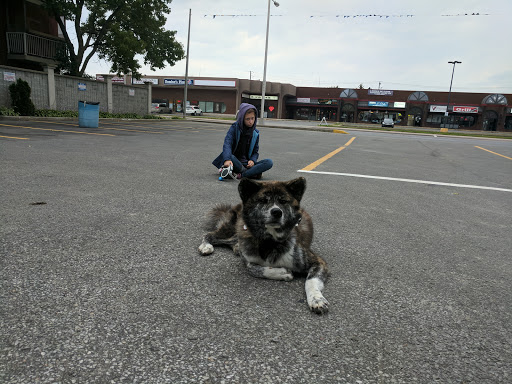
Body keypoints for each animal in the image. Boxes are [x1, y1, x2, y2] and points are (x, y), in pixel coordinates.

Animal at [198, 178, 330, 316]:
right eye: (263, 200)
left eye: (283, 201)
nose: (276, 212)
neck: (269, 241)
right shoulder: (249, 260)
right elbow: (254, 269)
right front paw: (282, 273)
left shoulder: (318, 262)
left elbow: (311, 281)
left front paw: (316, 299)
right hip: (236, 229)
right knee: (210, 235)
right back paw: (206, 246)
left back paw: (235, 247)